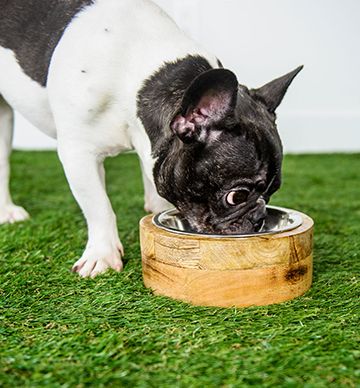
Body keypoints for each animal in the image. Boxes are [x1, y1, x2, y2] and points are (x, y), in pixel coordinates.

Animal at [0, 1, 302, 278]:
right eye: (236, 196)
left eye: (271, 192)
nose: (260, 218)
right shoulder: (79, 154)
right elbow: (99, 207)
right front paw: (102, 255)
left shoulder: (151, 147)